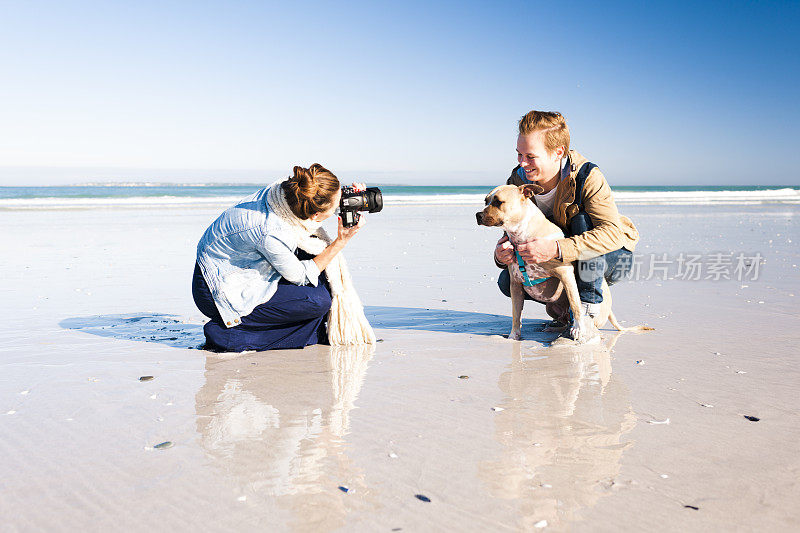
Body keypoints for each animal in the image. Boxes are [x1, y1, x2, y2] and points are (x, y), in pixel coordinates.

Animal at [476, 183, 648, 340]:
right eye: (486, 200)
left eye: (498, 202)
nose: (477, 215)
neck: (522, 234)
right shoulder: (516, 284)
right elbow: (516, 313)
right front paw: (513, 336)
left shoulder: (566, 275)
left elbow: (576, 304)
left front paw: (578, 328)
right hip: (550, 308)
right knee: (564, 321)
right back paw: (554, 328)